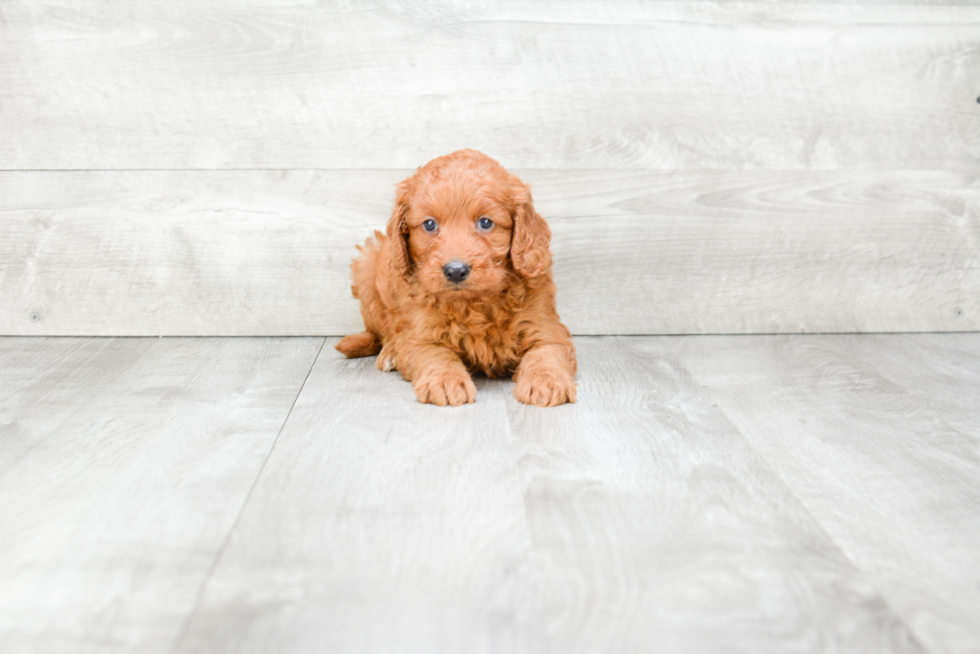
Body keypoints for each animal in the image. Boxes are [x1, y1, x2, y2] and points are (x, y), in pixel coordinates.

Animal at [336, 149, 576, 408]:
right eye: (429, 224)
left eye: (485, 222)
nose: (456, 271)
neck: (474, 302)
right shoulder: (420, 334)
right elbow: (435, 354)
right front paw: (445, 382)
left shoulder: (545, 325)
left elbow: (547, 351)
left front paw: (546, 381)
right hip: (368, 265)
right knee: (382, 332)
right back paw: (390, 352)